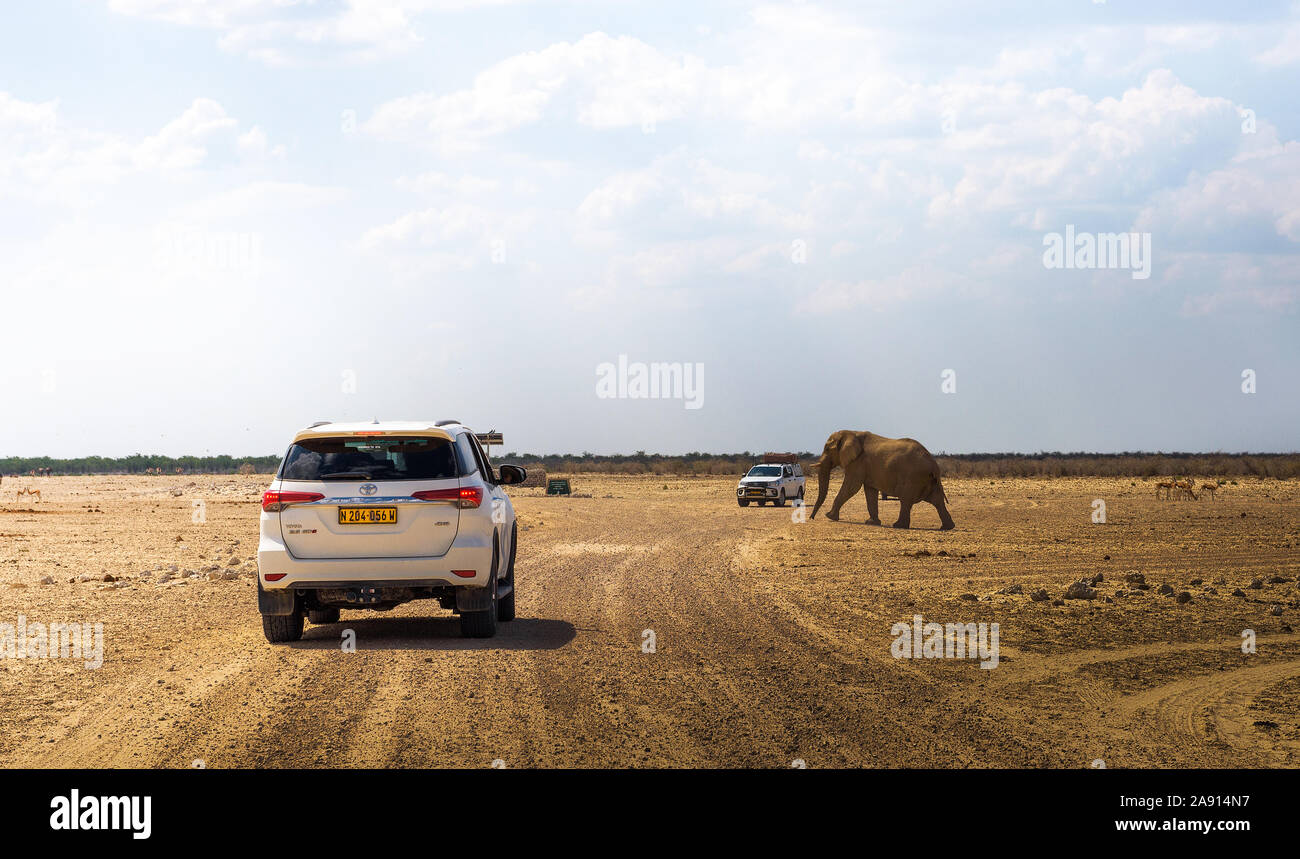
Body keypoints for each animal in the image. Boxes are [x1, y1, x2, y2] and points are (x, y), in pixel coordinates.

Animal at [811, 428, 956, 530]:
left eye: (827, 449)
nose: (812, 517)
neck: (852, 433)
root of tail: (933, 465)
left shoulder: (858, 462)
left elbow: (852, 486)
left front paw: (829, 516)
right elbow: (870, 491)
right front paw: (871, 523)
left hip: (913, 478)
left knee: (906, 500)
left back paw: (898, 525)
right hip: (929, 481)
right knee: (937, 501)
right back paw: (947, 527)